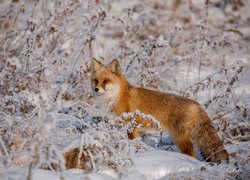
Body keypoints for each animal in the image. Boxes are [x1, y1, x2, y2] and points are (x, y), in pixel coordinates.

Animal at [91, 58, 229, 162]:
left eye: (106, 81)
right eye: (96, 80)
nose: (96, 89)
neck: (118, 97)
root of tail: (198, 105)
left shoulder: (131, 126)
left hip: (181, 141)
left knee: (192, 156)